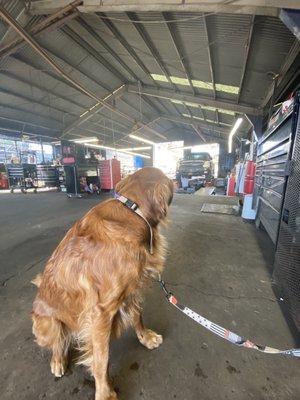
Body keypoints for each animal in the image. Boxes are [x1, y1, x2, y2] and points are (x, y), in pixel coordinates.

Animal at [30, 166, 173, 400]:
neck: (131, 209)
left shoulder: (130, 290)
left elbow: (137, 315)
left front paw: (145, 337)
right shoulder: (101, 311)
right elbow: (101, 359)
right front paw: (105, 392)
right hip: (47, 324)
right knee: (58, 342)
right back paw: (58, 360)